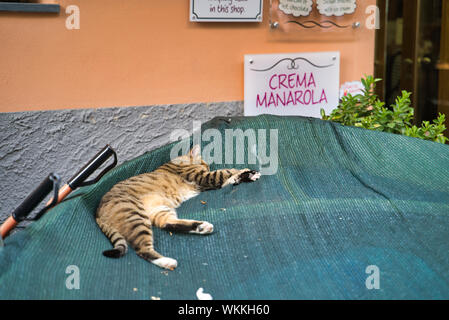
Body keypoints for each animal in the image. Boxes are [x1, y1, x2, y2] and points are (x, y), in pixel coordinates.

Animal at [96, 145, 260, 270]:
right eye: (205, 164)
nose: (207, 166)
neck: (179, 161)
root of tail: (97, 213)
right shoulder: (203, 178)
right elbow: (225, 172)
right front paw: (245, 172)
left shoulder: (205, 183)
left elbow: (228, 179)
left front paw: (246, 175)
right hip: (134, 215)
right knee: (142, 249)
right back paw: (168, 261)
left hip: (159, 209)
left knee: (167, 224)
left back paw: (202, 227)